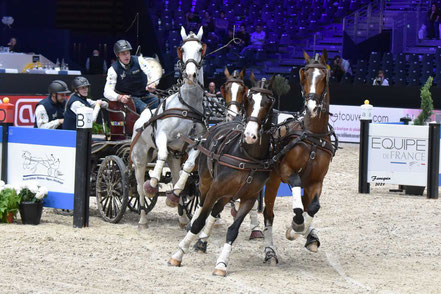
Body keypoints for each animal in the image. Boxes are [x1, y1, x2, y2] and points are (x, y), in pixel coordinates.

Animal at [131, 26, 206, 229]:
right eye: (182, 49)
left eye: (200, 49)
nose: (190, 76)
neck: (187, 107)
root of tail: (140, 120)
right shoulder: (162, 136)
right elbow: (162, 154)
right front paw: (152, 185)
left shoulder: (196, 143)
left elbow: (188, 167)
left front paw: (175, 194)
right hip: (140, 159)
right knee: (139, 188)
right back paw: (142, 218)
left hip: (175, 158)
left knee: (174, 176)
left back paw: (181, 215)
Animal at [169, 75, 276, 276]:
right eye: (249, 99)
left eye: (268, 102)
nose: (250, 135)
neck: (247, 155)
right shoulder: (215, 188)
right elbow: (200, 220)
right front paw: (178, 254)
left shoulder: (249, 197)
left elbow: (233, 230)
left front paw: (221, 264)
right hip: (206, 183)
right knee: (202, 206)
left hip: (228, 194)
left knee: (215, 210)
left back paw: (202, 241)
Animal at [260, 49, 336, 266]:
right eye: (305, 75)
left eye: (324, 77)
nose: (312, 107)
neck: (312, 136)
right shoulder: (287, 172)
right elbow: (298, 204)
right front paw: (296, 227)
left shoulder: (316, 181)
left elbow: (313, 207)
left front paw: (303, 233)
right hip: (272, 179)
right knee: (268, 214)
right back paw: (270, 252)